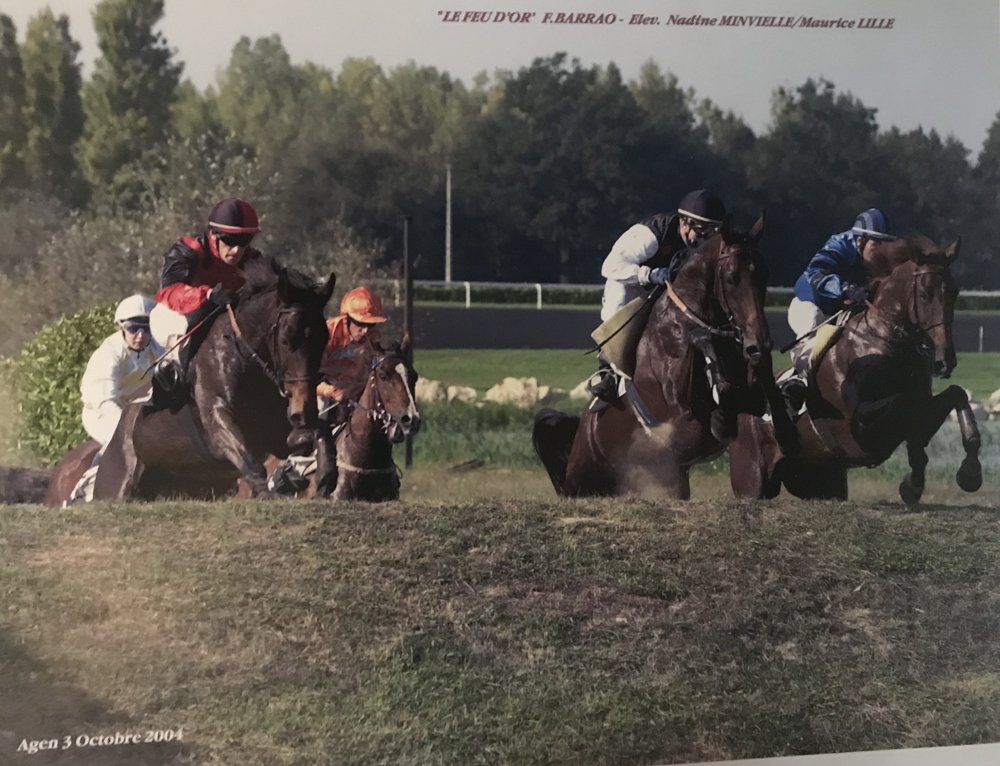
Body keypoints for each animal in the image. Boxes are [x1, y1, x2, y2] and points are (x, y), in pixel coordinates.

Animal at [88, 252, 335, 501]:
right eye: (285, 340)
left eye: (324, 338)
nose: (304, 411)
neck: (241, 356)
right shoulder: (217, 417)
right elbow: (249, 460)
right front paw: (269, 493)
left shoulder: (274, 433)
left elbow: (320, 431)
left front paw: (326, 476)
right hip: (116, 484)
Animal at [534, 215, 790, 499]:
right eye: (731, 278)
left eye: (764, 276)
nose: (759, 343)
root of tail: (583, 430)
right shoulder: (679, 407)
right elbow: (700, 343)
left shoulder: (748, 397)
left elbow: (751, 390)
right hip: (586, 480)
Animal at [728, 235, 982, 505]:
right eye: (924, 295)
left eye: (954, 293)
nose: (944, 361)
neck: (882, 338)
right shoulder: (859, 428)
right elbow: (903, 402)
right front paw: (916, 479)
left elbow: (955, 394)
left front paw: (969, 473)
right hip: (752, 480)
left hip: (821, 481)